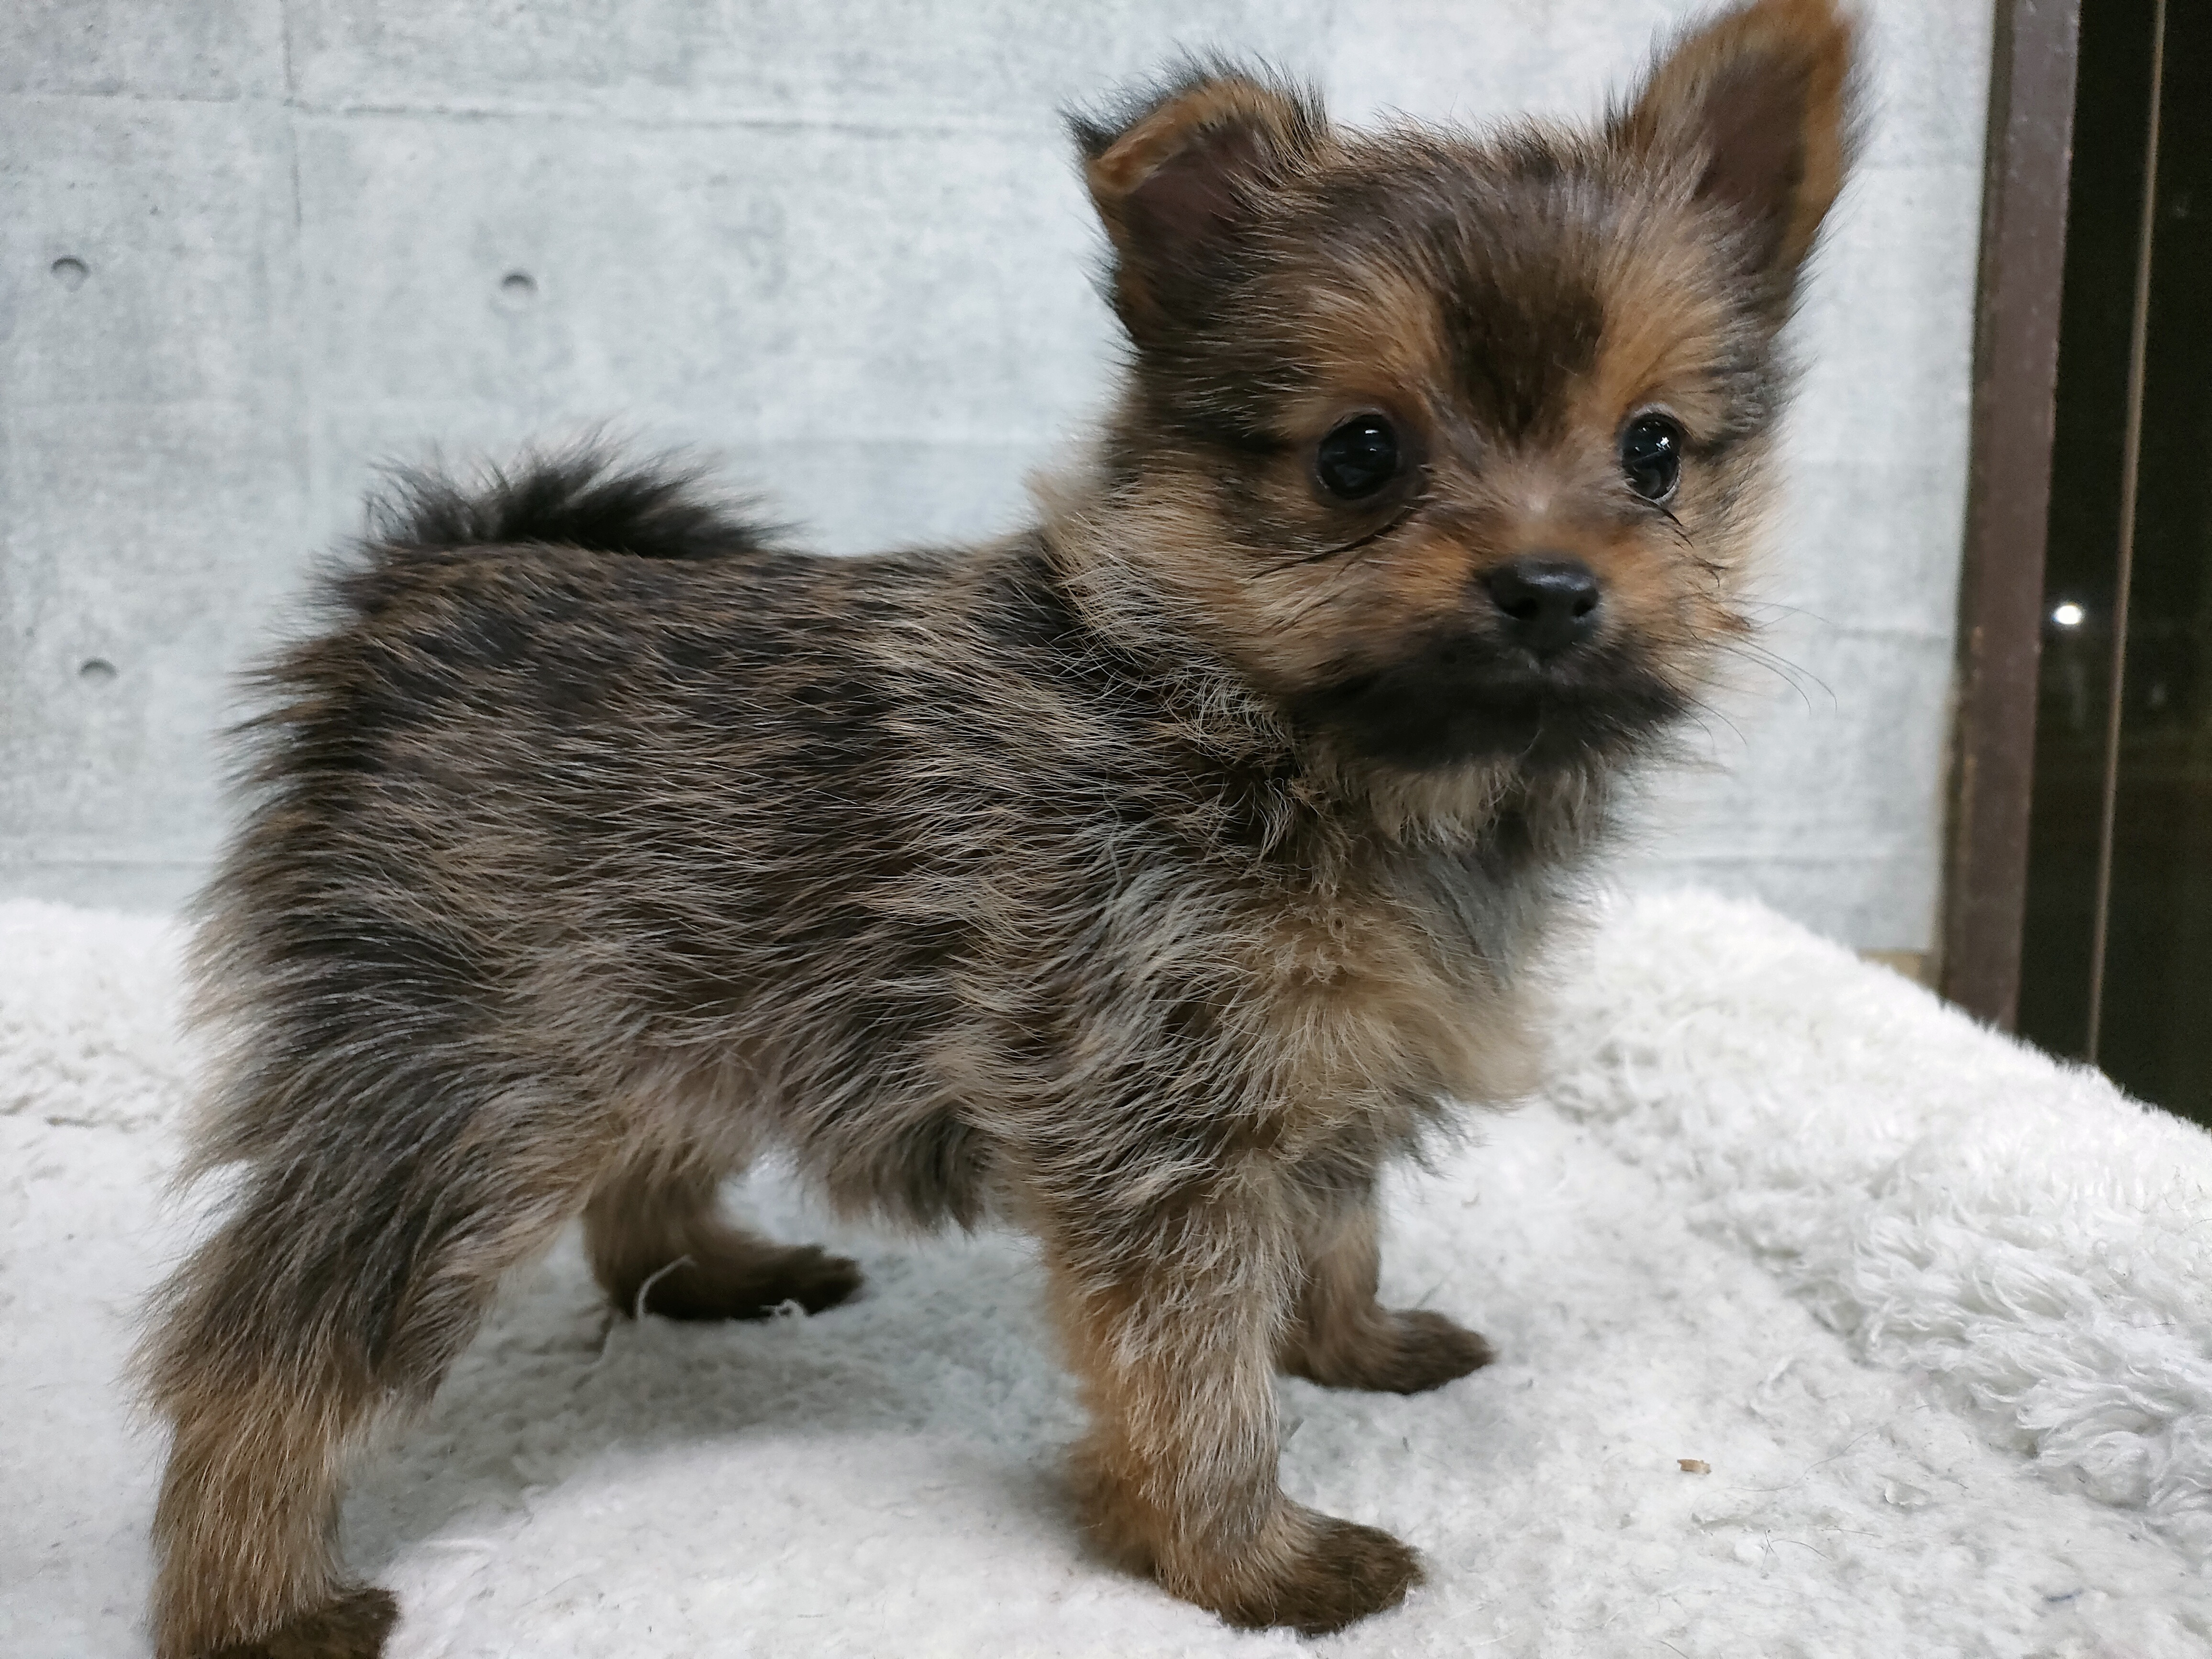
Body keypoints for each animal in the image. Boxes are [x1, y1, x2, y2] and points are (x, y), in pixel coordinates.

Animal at [139, 1, 1857, 1650]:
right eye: (1360, 455)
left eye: (1652, 450)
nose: (1550, 585)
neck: (1285, 735)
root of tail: (434, 586)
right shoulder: (1164, 1119)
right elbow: (1195, 1373)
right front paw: (1251, 1556)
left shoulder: (1326, 1076)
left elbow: (1336, 1226)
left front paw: (1352, 1343)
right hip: (452, 1092)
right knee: (260, 1355)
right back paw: (253, 1601)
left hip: (657, 1013)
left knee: (633, 1176)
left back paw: (712, 1273)